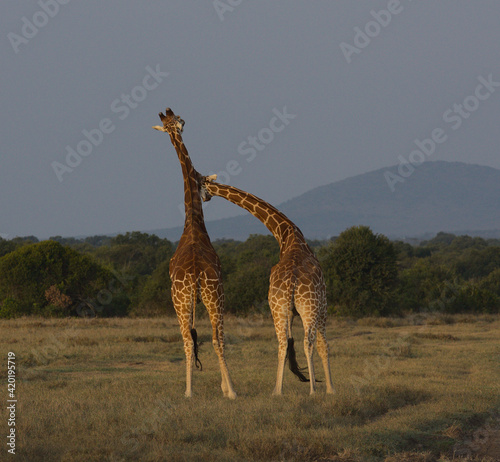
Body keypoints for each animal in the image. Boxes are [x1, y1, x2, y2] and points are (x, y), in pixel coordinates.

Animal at [152, 107, 236, 398]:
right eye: (180, 121)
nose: (184, 121)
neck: (193, 224)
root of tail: (197, 274)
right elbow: (213, 339)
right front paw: (224, 387)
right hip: (213, 296)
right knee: (217, 339)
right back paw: (231, 391)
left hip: (182, 300)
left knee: (190, 341)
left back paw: (190, 392)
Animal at [200, 176, 336, 394]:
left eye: (202, 184)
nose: (205, 198)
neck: (287, 234)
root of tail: (292, 281)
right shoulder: (322, 305)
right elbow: (324, 346)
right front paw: (331, 389)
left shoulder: (290, 311)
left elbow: (290, 344)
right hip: (309, 308)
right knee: (308, 343)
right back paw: (312, 390)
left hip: (277, 308)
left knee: (282, 343)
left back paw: (277, 391)